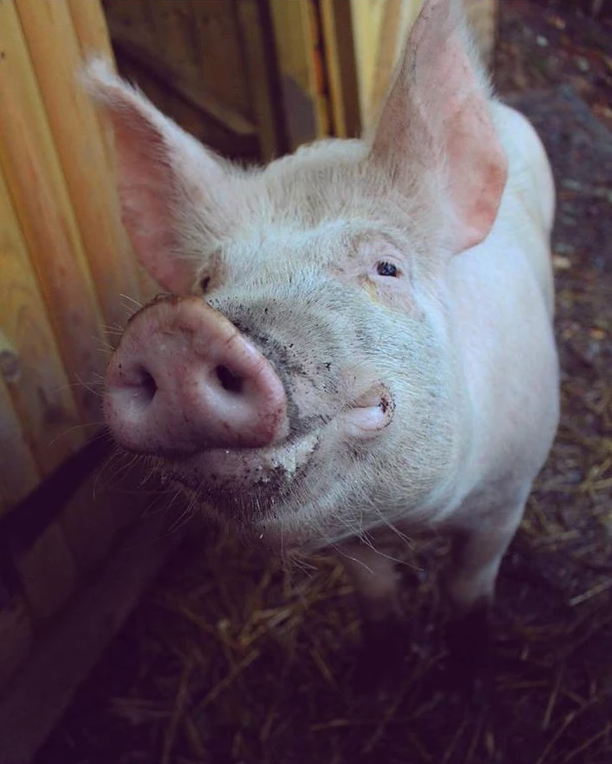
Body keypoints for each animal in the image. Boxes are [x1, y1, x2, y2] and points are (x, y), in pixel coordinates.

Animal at [90, 0, 558, 671]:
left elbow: (468, 587)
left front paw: (468, 666)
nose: (175, 329)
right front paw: (381, 665)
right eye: (206, 279)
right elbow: (377, 594)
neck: (409, 521)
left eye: (386, 268)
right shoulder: (349, 541)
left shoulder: (507, 496)